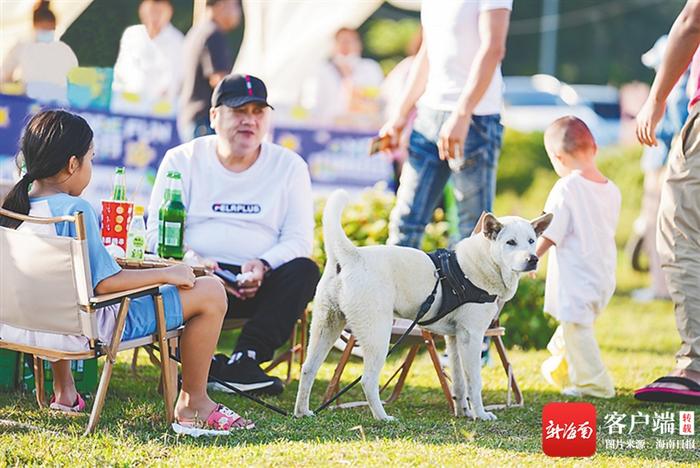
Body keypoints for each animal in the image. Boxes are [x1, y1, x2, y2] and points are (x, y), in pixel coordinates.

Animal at [292, 190, 548, 420]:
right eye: (510, 242)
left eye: (532, 241)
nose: (533, 259)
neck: (482, 263)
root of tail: (352, 256)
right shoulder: (472, 336)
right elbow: (474, 382)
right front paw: (481, 414)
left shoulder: (454, 338)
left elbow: (459, 382)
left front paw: (463, 412)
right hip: (377, 335)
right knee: (367, 380)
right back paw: (382, 417)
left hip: (326, 327)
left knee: (307, 369)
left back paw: (302, 412)